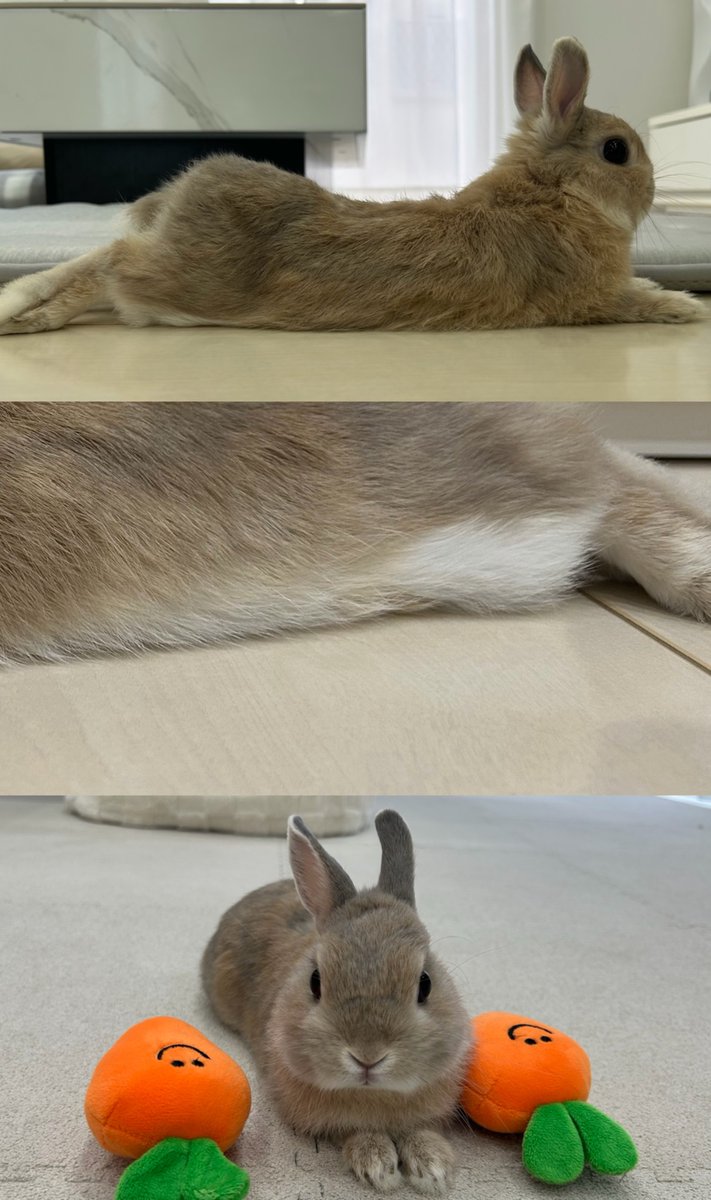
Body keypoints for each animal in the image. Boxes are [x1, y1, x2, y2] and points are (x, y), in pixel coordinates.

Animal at [0, 37, 704, 336]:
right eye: (616, 151)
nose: (651, 192)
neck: (551, 193)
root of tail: (177, 196)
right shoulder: (591, 297)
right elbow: (637, 301)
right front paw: (688, 308)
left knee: (98, 267)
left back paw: (19, 305)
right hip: (182, 276)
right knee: (112, 260)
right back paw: (25, 312)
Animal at [201, 809, 473, 1193]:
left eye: (425, 984)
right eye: (315, 982)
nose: (368, 1057)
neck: (375, 1094)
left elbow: (421, 1129)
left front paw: (432, 1168)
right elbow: (352, 1132)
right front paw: (378, 1165)